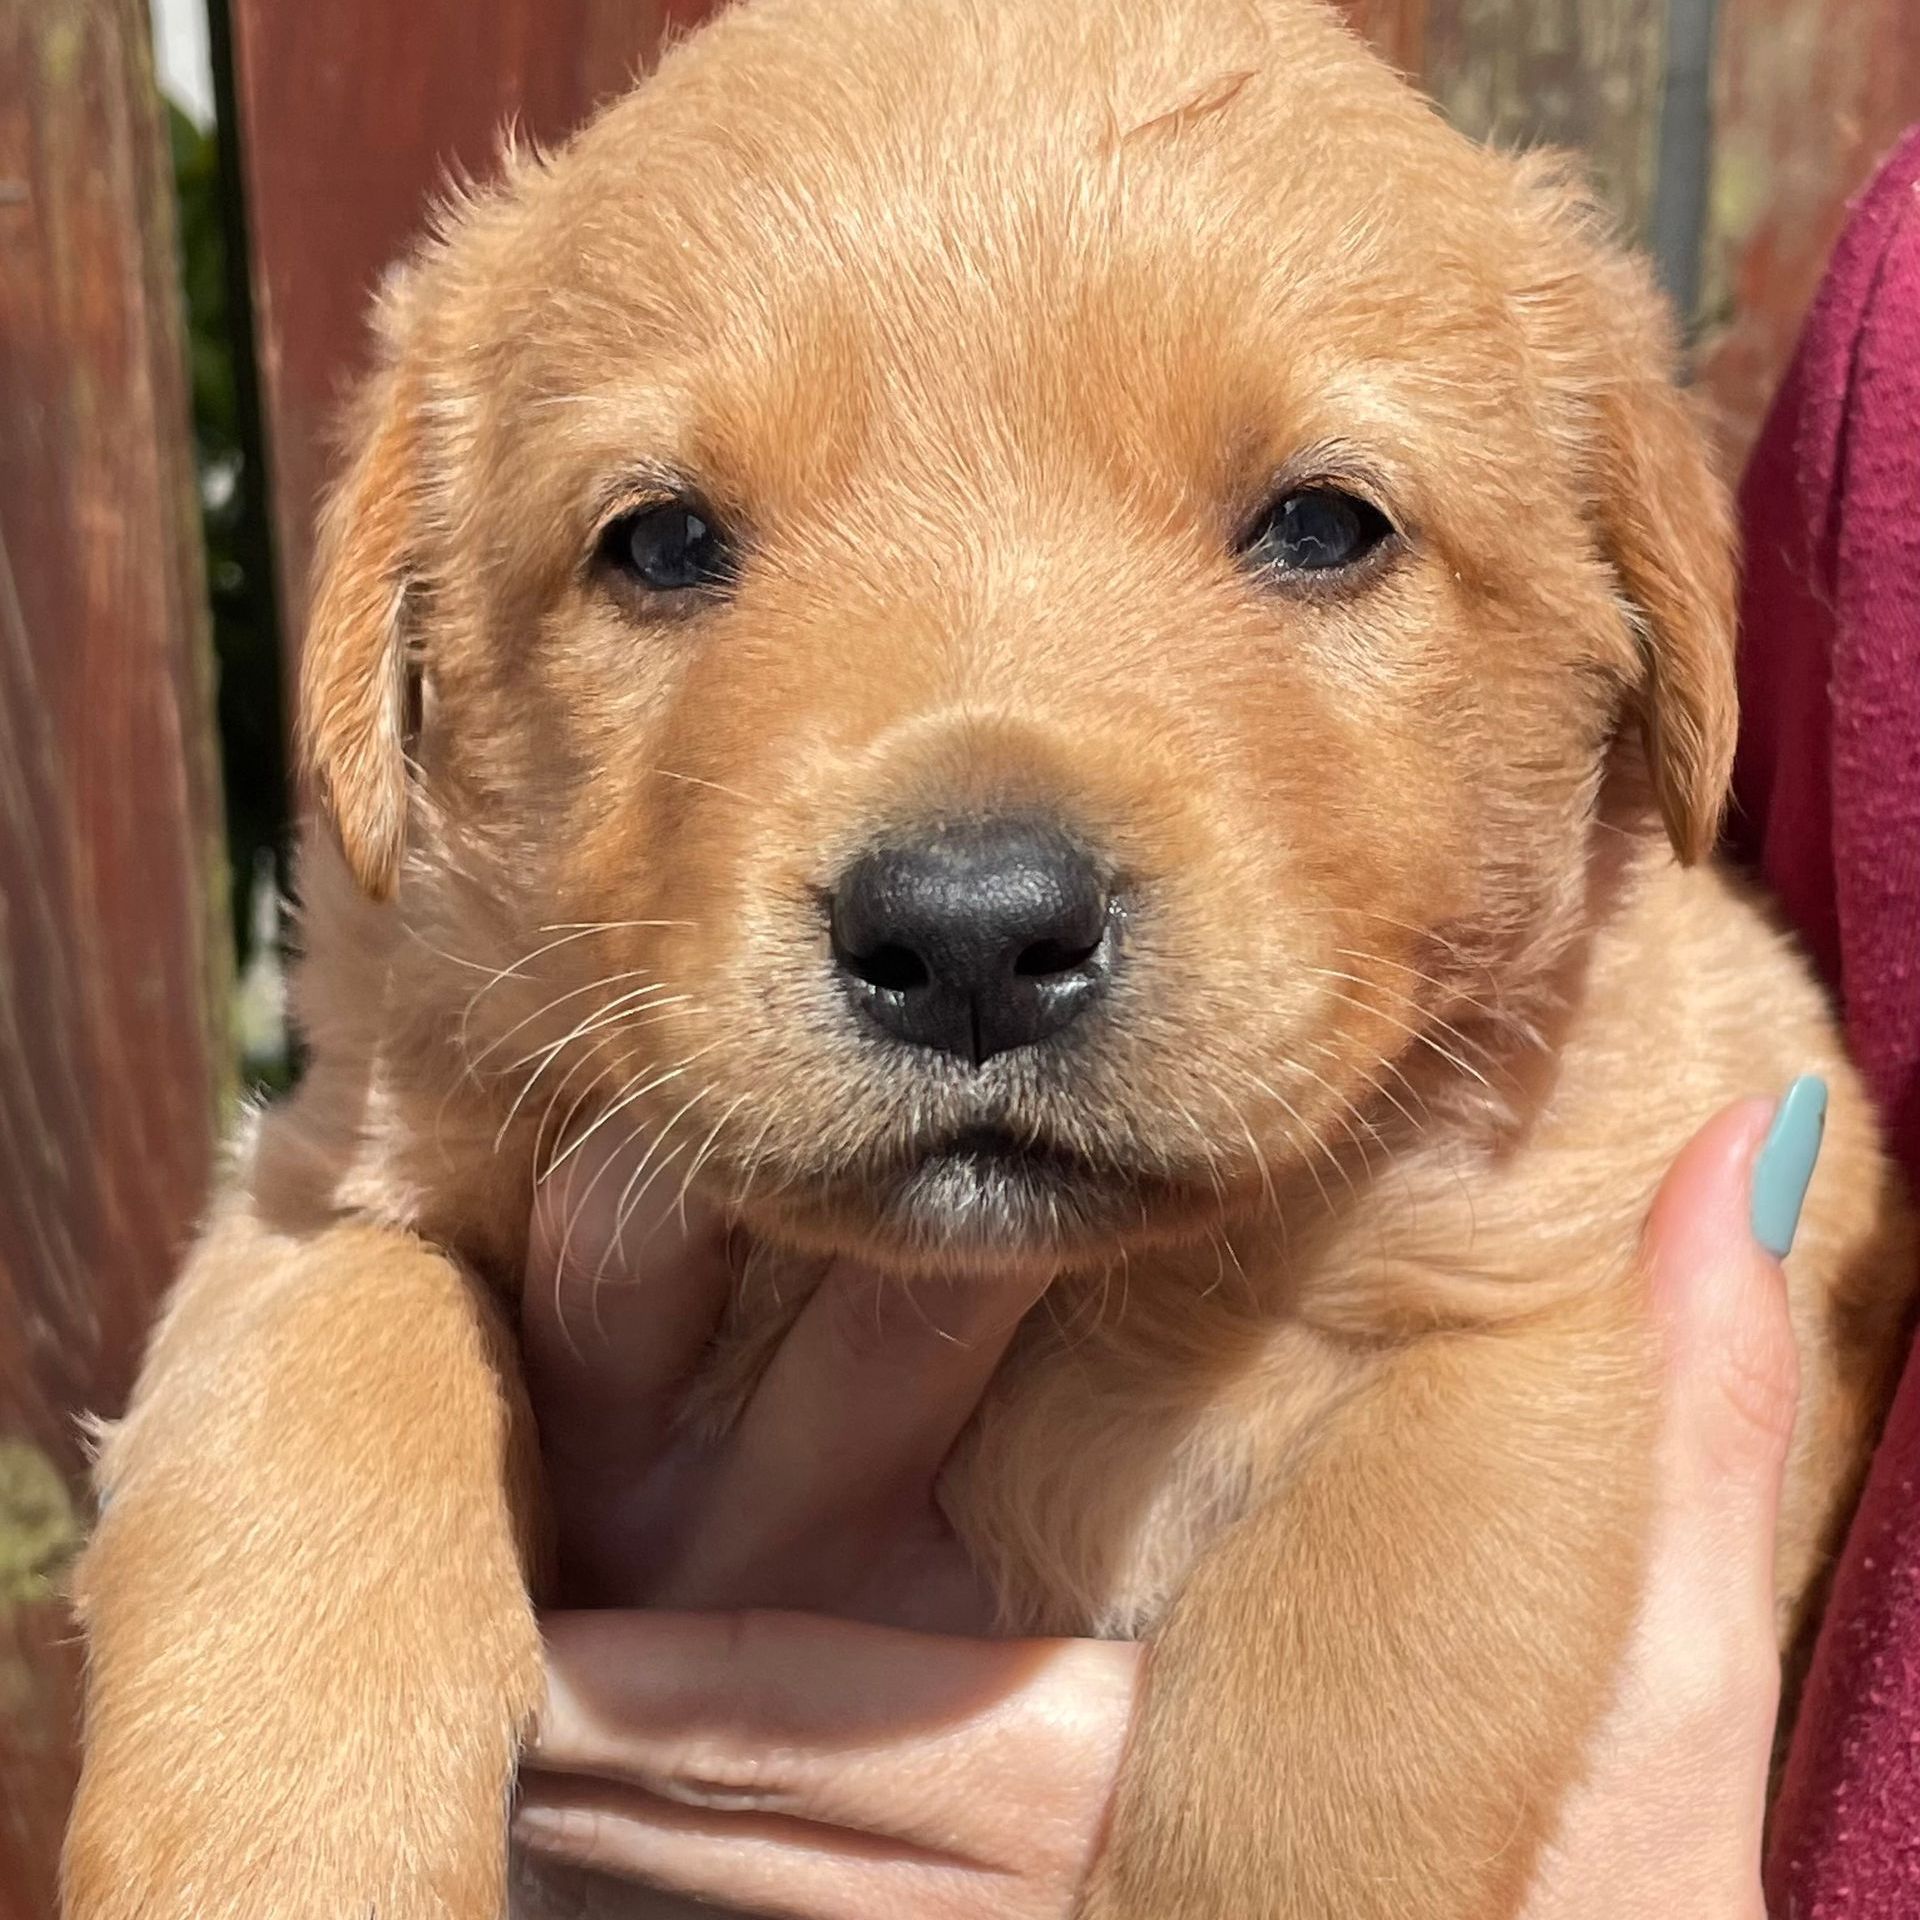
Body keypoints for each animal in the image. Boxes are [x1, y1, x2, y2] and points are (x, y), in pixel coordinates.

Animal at [60, 3, 1904, 1920]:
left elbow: (1353, 1663)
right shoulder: (335, 1156)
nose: (969, 937)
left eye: (1325, 526)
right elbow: (321, 1372)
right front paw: (279, 1841)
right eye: (661, 542)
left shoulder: (1563, 1276)